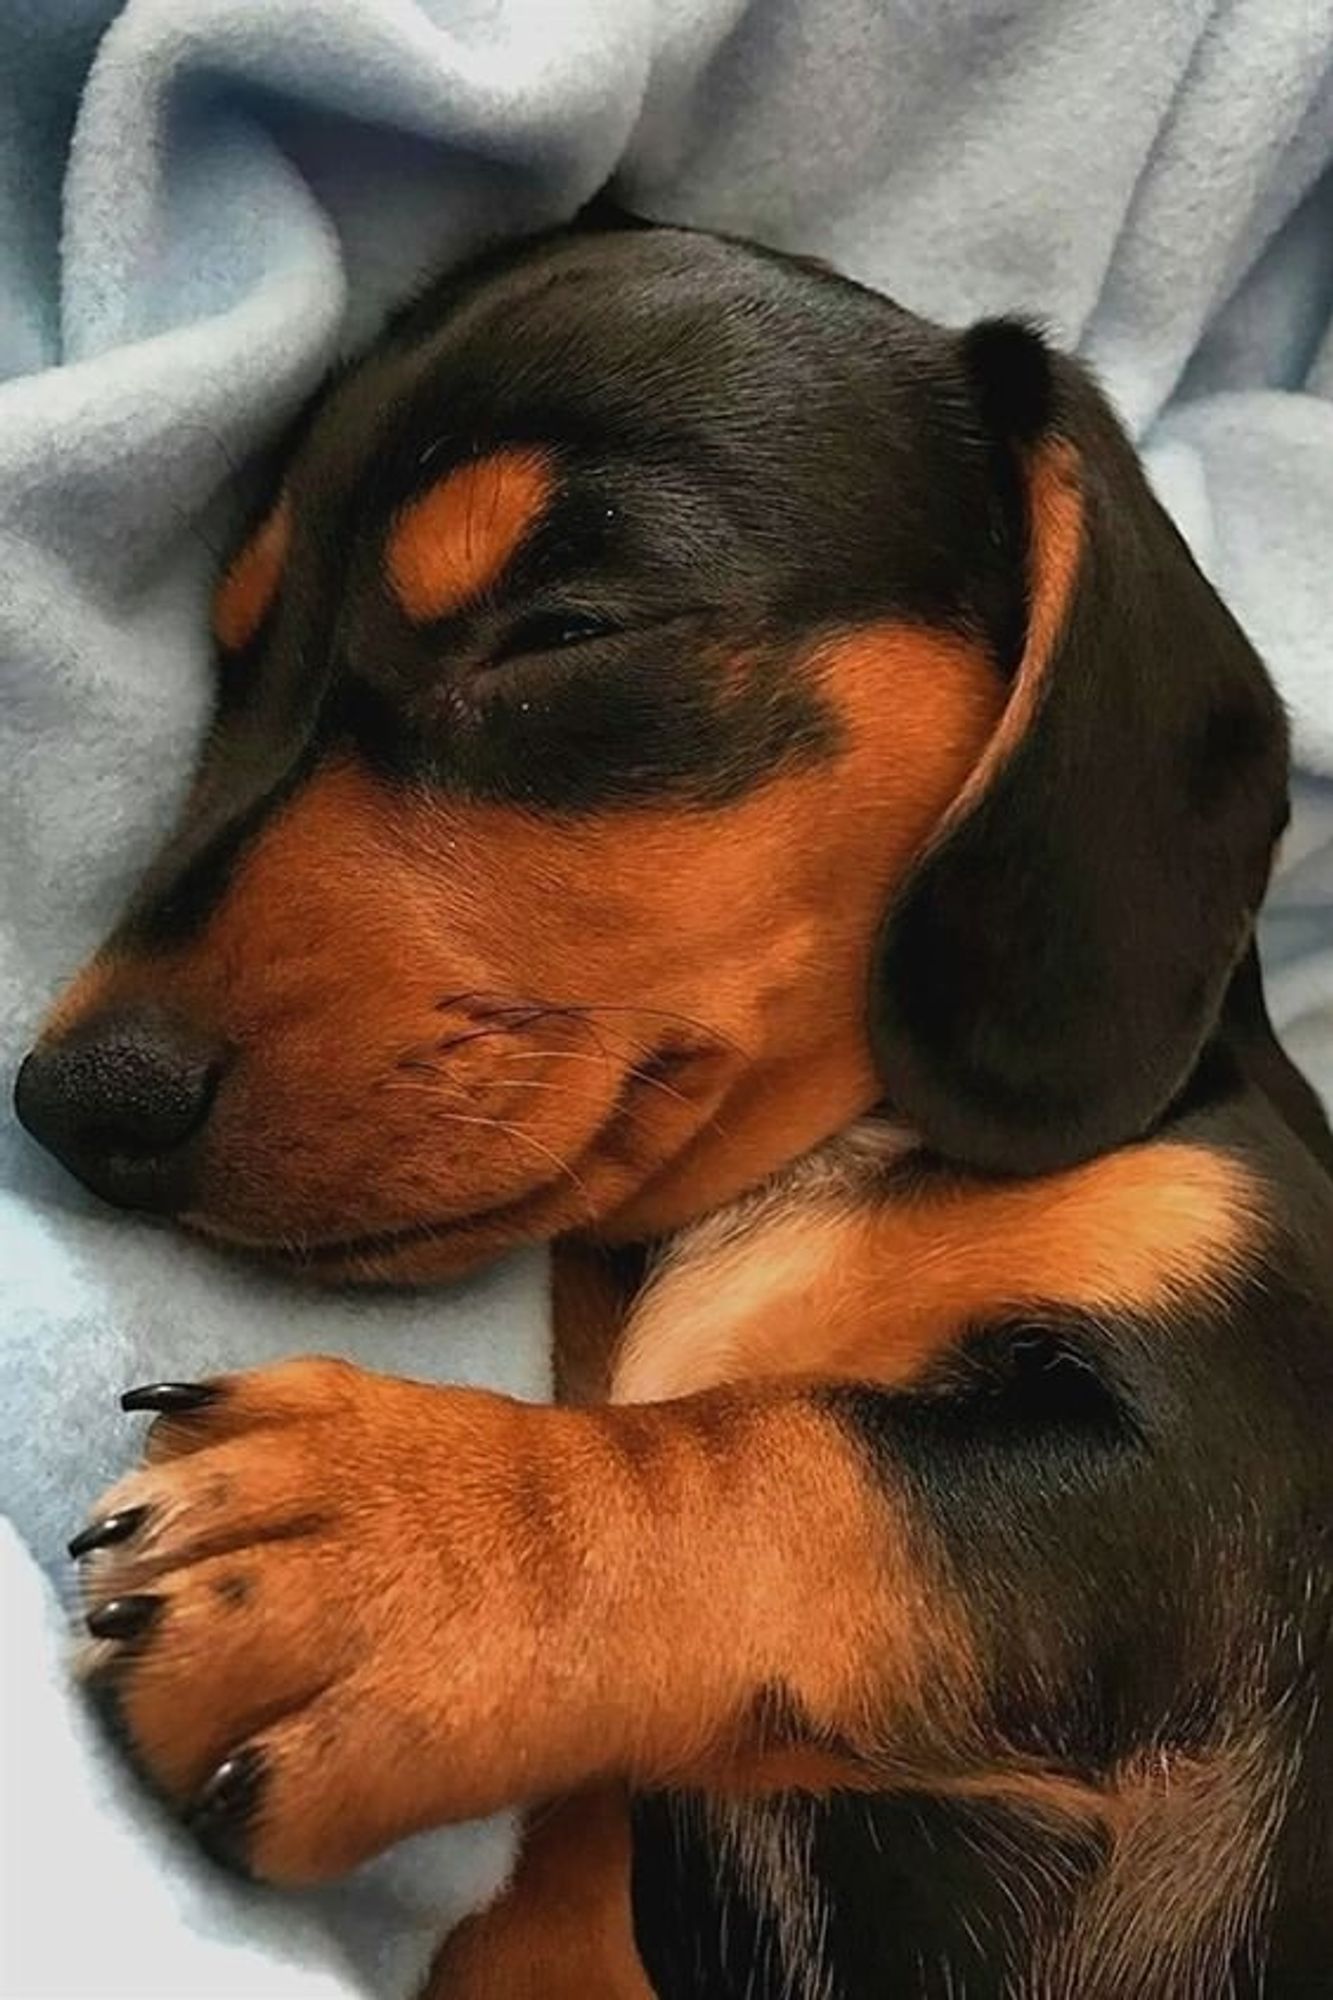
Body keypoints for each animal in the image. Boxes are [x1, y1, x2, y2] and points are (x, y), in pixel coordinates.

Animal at [15, 219, 1328, 2000]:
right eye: (231, 662)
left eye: (562, 631)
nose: (69, 1098)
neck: (793, 1180)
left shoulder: (1220, 1449)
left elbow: (800, 1462)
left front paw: (394, 1553)